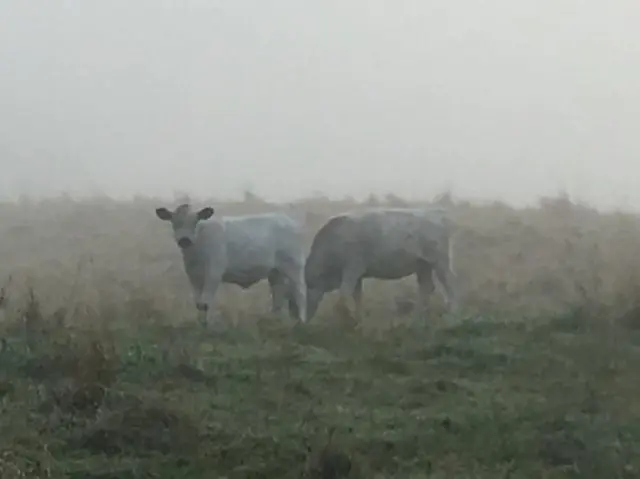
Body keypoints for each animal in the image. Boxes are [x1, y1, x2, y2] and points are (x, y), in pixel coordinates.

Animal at [154, 203, 306, 326]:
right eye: (175, 222)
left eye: (195, 222)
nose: (184, 240)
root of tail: (289, 220)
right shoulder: (193, 276)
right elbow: (198, 303)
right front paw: (200, 323)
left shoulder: (214, 273)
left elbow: (206, 302)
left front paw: (207, 325)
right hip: (275, 272)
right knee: (278, 293)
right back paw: (273, 320)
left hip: (293, 266)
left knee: (300, 291)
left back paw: (302, 321)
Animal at [304, 207, 458, 322]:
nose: (301, 321)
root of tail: (440, 215)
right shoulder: (358, 275)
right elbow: (357, 296)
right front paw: (358, 319)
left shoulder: (352, 269)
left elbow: (344, 294)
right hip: (423, 264)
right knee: (426, 287)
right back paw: (418, 317)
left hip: (440, 261)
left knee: (450, 284)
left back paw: (452, 313)